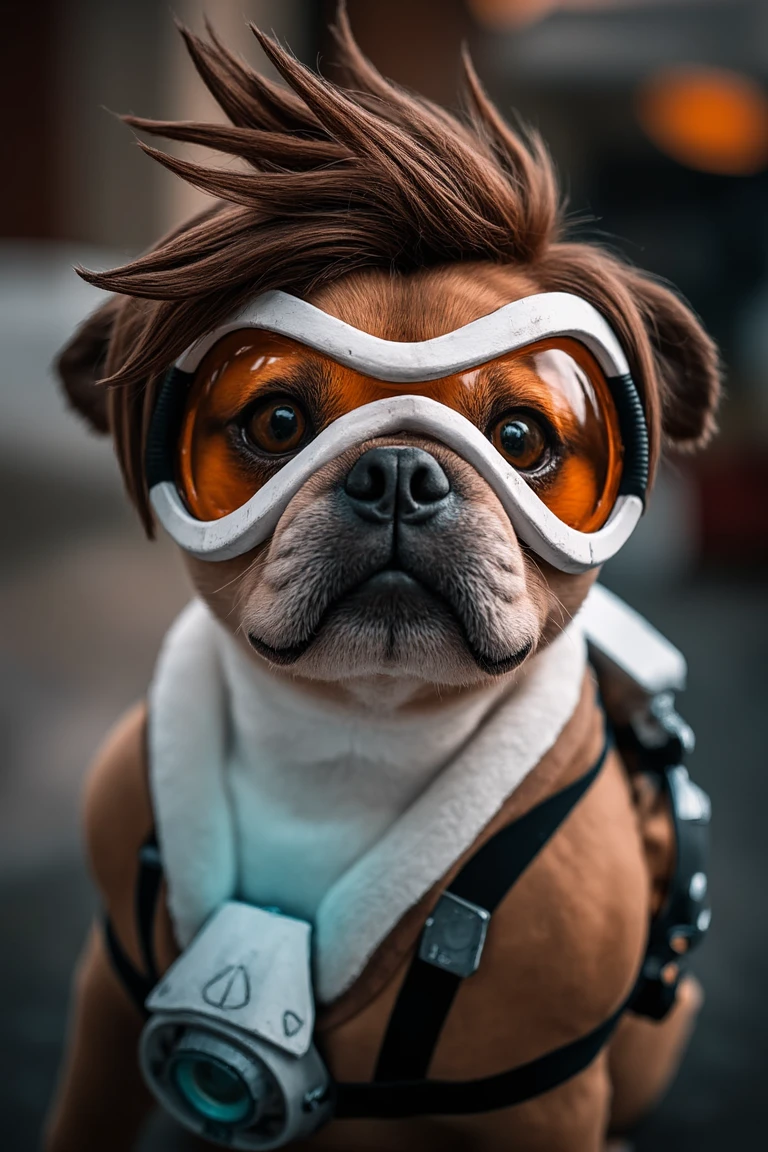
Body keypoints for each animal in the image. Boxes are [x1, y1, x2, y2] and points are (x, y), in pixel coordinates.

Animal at [46, 11, 723, 1152]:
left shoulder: (547, 1105)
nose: (401, 469)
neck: (353, 739)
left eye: (523, 437)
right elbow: (84, 1112)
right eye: (275, 421)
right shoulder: (105, 1001)